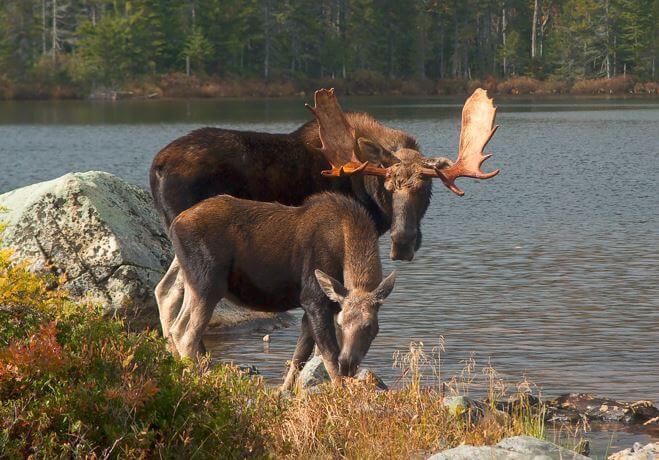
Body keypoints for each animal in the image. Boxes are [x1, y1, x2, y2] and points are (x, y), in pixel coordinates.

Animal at [164, 192, 398, 390]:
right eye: (341, 324)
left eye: (370, 326)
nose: (348, 363)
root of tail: (175, 224)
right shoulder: (314, 300)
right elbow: (329, 356)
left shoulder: (319, 306)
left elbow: (299, 358)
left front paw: (283, 392)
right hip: (209, 284)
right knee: (187, 335)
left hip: (192, 281)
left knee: (174, 321)